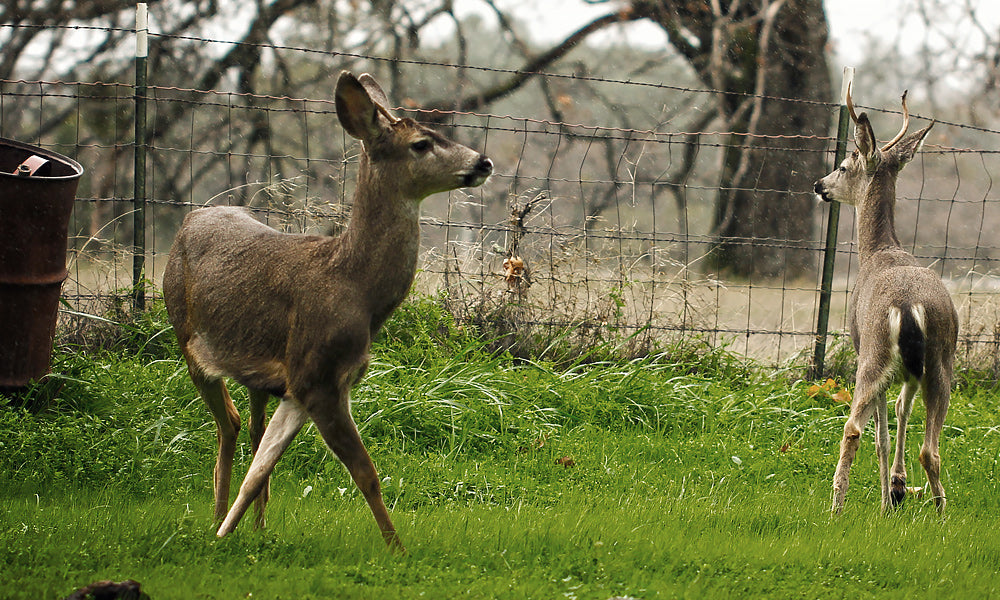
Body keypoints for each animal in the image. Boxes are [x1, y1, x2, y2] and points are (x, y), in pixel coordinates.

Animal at [162, 69, 494, 548]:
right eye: (420, 144)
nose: (483, 163)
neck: (356, 288)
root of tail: (189, 219)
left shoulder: (307, 384)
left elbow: (260, 469)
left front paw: (235, 532)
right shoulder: (316, 376)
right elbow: (366, 473)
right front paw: (396, 548)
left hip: (255, 372)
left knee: (250, 427)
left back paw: (250, 524)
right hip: (188, 341)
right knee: (229, 423)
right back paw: (217, 516)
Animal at [812, 84, 960, 516]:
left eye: (845, 166)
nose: (819, 185)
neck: (879, 251)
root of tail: (908, 307)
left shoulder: (865, 347)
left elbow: (881, 433)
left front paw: (886, 498)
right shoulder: (911, 371)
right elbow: (900, 412)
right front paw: (897, 487)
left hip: (874, 353)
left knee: (852, 428)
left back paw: (836, 506)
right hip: (941, 361)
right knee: (931, 449)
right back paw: (941, 511)